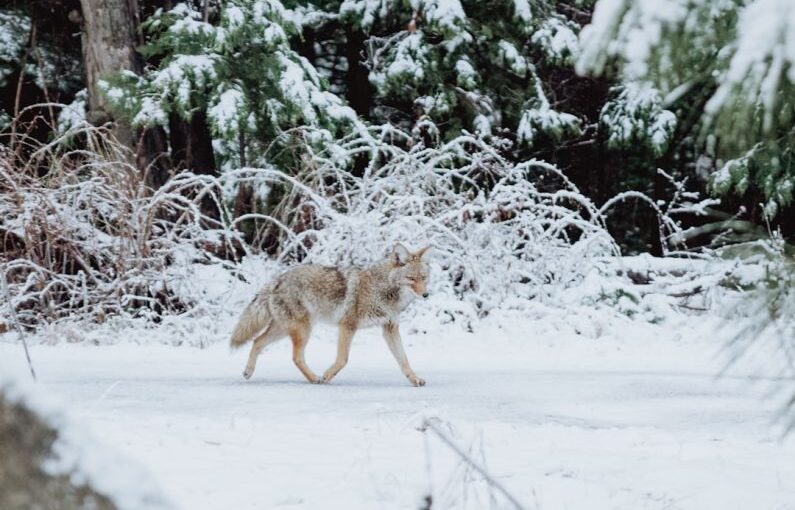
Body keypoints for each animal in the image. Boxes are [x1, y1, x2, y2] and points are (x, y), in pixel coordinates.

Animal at [229, 243, 431, 386]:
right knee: (295, 357)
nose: (426, 295)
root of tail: (277, 280)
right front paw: (327, 375)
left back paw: (248, 371)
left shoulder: (390, 328)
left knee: (257, 341)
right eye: (411, 279)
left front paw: (415, 379)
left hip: (284, 330)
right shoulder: (347, 325)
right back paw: (315, 378)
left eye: (424, 278)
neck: (381, 289)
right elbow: (342, 359)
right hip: (302, 330)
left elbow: (404, 360)